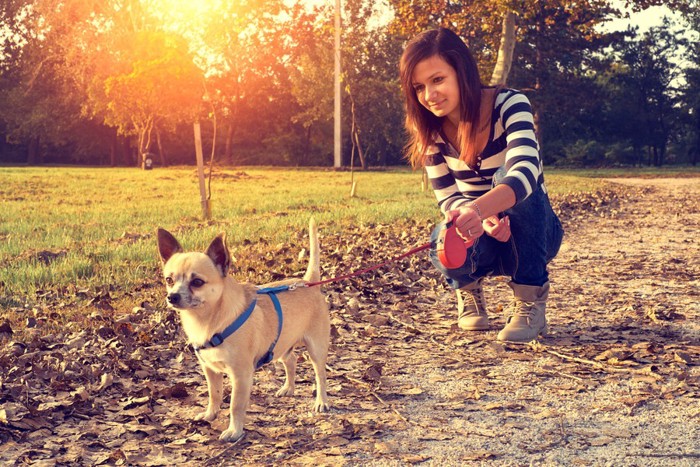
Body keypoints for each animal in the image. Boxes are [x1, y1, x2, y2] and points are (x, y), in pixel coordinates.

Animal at [158, 219, 330, 442]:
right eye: (169, 280)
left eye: (197, 282)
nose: (172, 297)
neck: (208, 321)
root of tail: (308, 282)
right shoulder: (210, 370)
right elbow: (214, 394)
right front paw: (210, 414)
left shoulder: (240, 375)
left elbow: (235, 405)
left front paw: (235, 431)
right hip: (281, 345)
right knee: (291, 361)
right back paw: (288, 388)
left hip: (316, 349)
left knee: (320, 375)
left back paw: (321, 401)